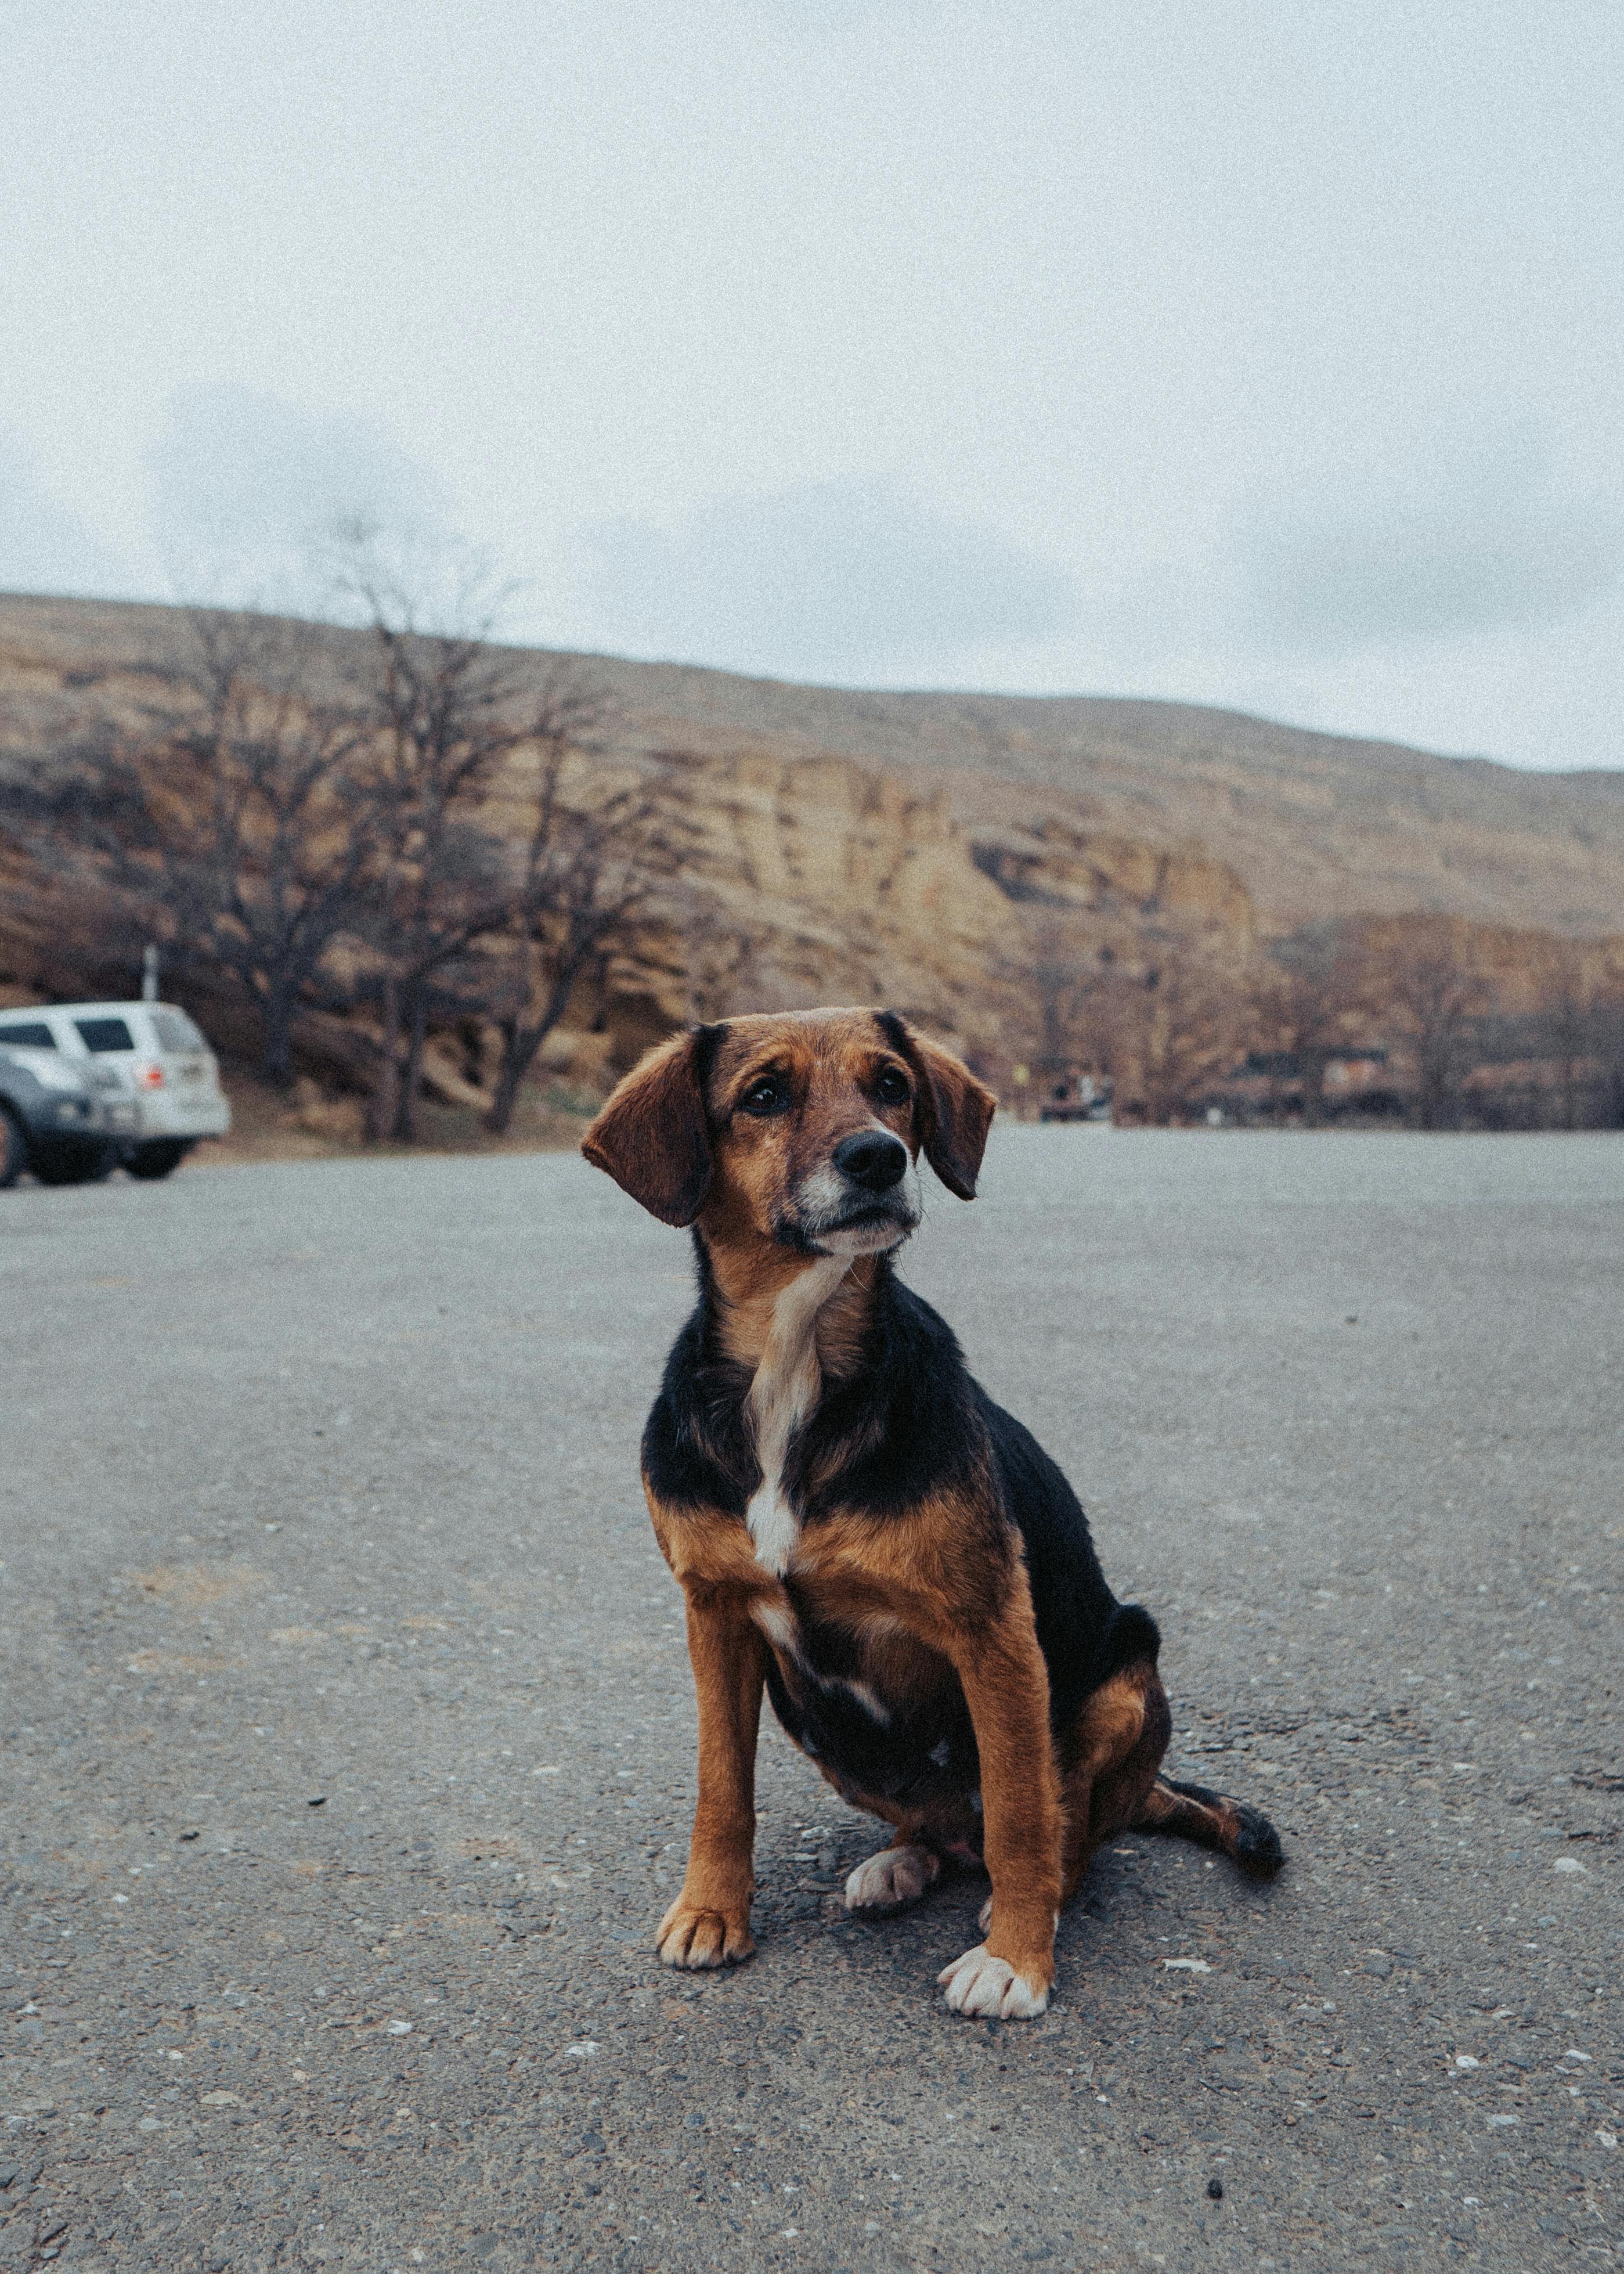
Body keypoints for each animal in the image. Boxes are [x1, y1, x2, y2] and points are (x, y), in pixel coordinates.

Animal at [582, 1005, 1273, 2019]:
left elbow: (1023, 1815)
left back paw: (1024, 1903)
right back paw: (900, 1865)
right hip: (817, 1720)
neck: (795, 1361)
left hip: (1122, 1681)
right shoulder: (713, 1614)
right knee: (944, 1829)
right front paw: (711, 1912)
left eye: (891, 1086)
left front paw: (1017, 1960)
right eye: (762, 1094)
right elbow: (720, 1785)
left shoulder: (993, 1633)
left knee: (1060, 1829)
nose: (875, 1157)